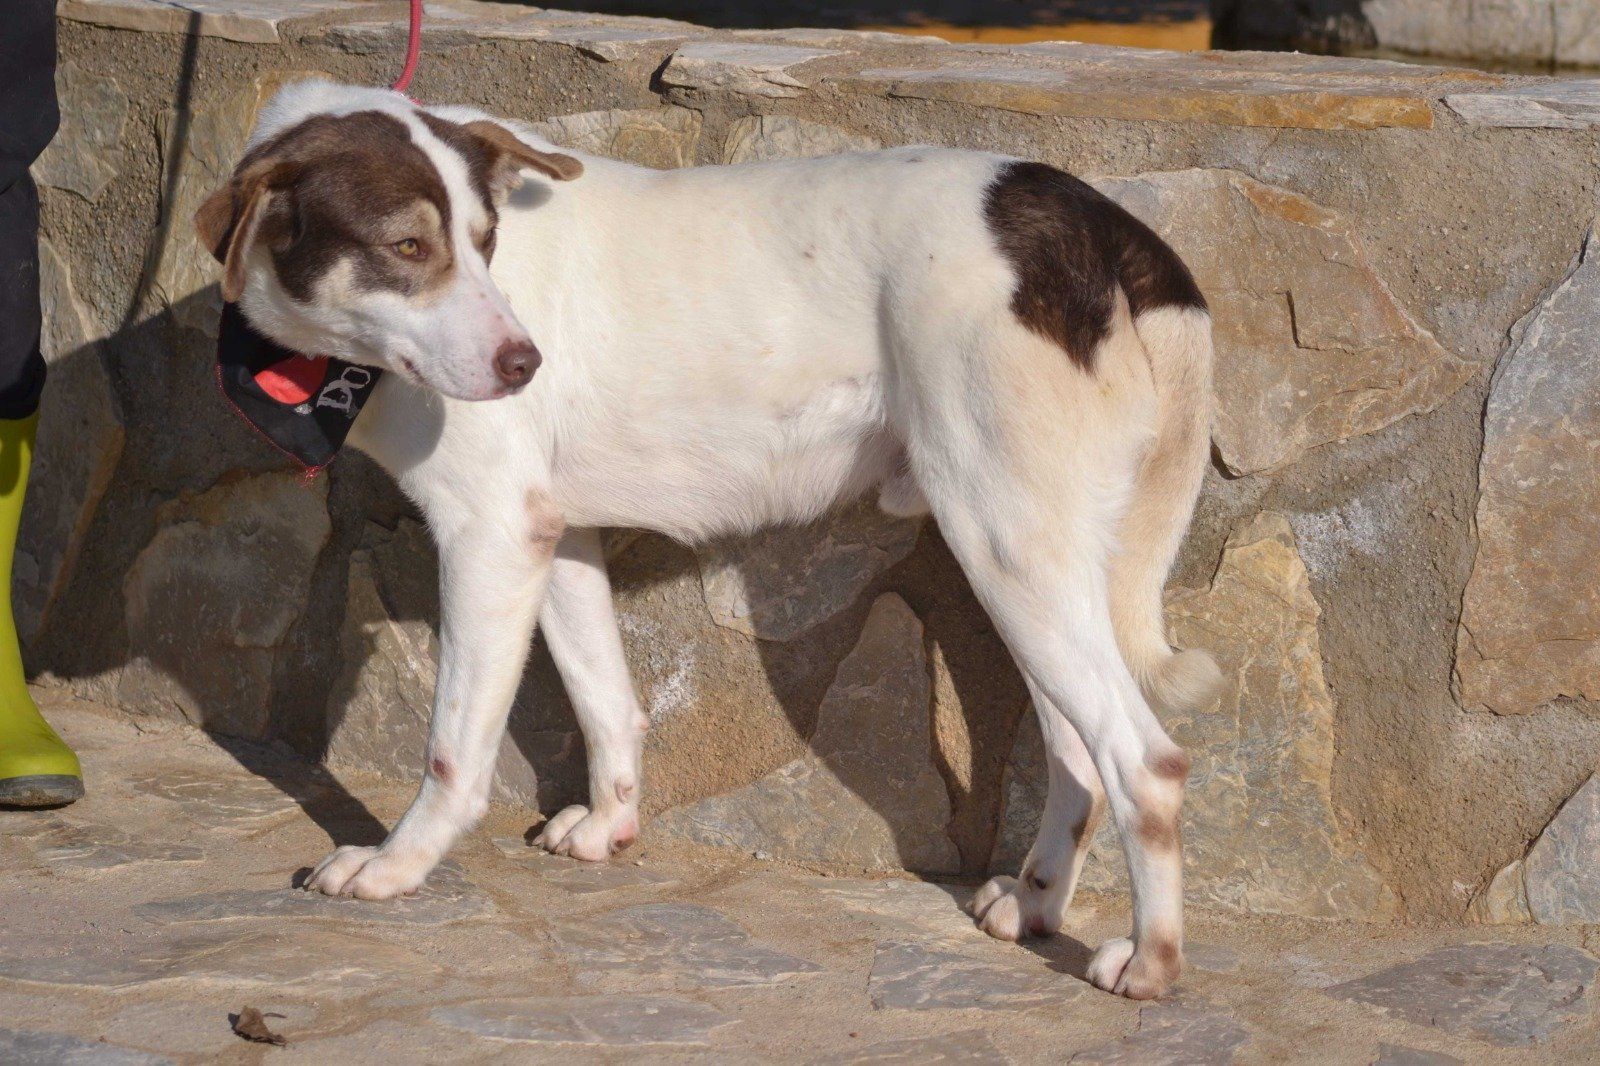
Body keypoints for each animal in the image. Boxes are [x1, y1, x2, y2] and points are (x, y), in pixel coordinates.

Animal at [196, 79, 1222, 1000]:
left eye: (483, 246)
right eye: (407, 247)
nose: (526, 365)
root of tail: (1103, 225)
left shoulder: (487, 535)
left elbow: (454, 752)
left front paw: (395, 866)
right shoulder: (552, 536)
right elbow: (607, 701)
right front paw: (609, 829)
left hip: (1002, 543)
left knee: (1146, 764)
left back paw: (1151, 963)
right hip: (1034, 564)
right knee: (1080, 758)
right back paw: (1038, 904)